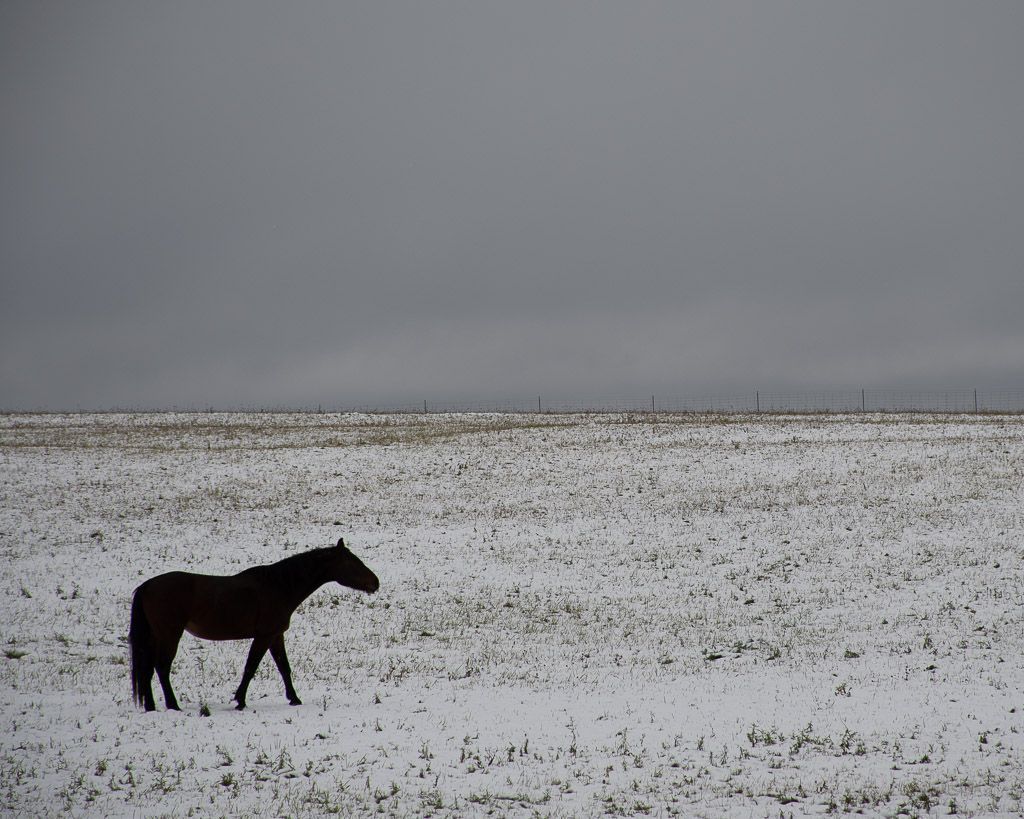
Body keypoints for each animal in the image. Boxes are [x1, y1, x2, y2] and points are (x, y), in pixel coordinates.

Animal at [129, 537, 379, 712]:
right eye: (353, 562)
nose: (375, 583)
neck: (279, 586)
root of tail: (147, 586)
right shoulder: (264, 636)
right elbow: (251, 667)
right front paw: (240, 701)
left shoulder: (276, 635)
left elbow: (284, 667)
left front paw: (294, 699)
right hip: (170, 634)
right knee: (162, 667)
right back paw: (173, 705)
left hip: (155, 636)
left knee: (148, 669)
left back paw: (151, 707)